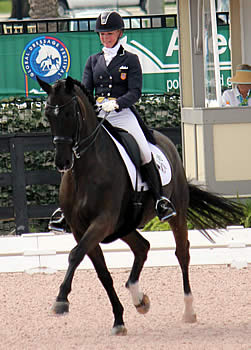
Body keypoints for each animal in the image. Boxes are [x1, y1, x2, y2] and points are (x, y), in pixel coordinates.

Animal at [36, 77, 243, 336]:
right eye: (48, 114)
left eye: (69, 113)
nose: (62, 162)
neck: (86, 170)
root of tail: (166, 142)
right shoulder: (80, 228)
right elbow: (102, 273)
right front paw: (118, 320)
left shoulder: (102, 221)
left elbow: (75, 255)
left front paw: (61, 301)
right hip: (124, 226)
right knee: (142, 247)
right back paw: (138, 298)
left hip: (175, 213)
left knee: (182, 253)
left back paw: (188, 311)